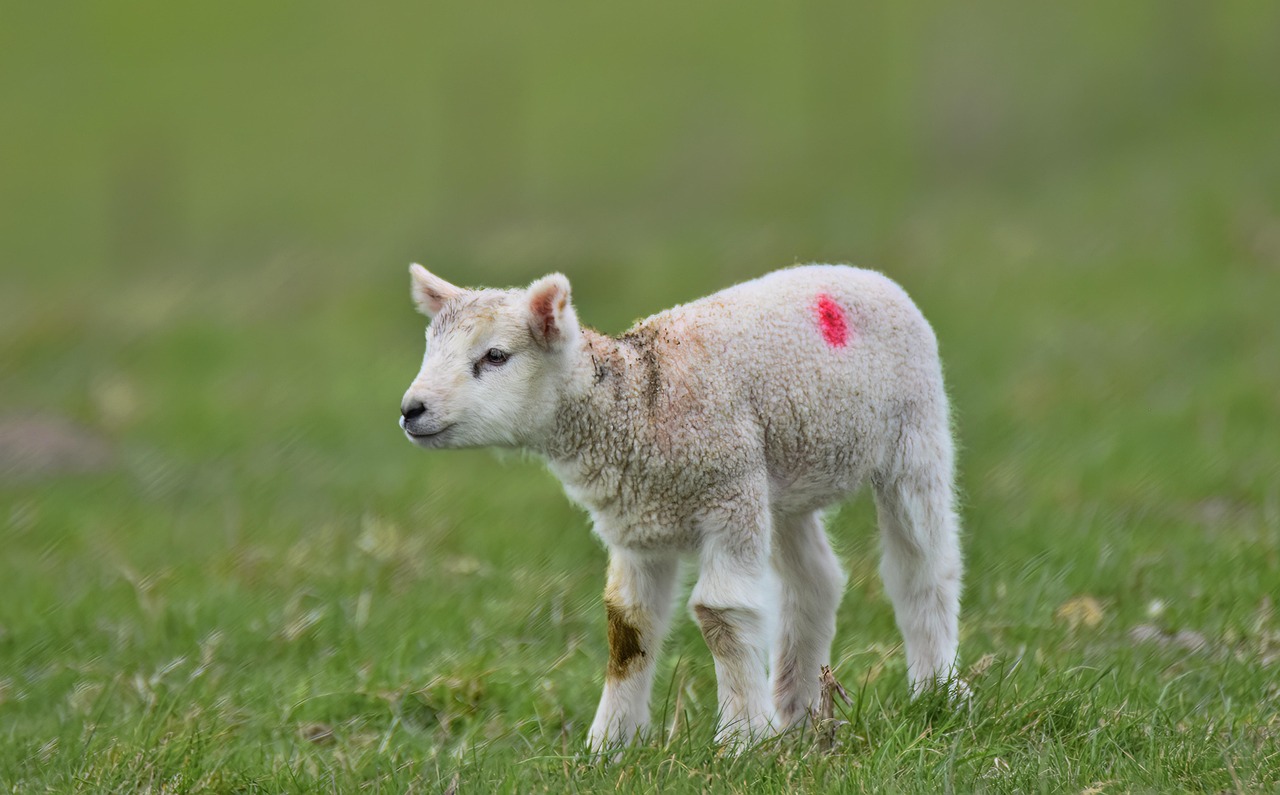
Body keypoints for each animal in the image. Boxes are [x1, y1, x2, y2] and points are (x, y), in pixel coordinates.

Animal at [399, 263, 964, 750]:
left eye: (495, 356)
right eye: (429, 348)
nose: (411, 410)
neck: (638, 398)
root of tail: (861, 273)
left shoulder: (728, 495)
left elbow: (721, 614)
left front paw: (741, 742)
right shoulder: (637, 524)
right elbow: (627, 627)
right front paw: (607, 747)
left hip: (915, 436)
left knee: (923, 569)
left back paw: (938, 693)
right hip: (780, 481)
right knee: (815, 582)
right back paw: (797, 718)